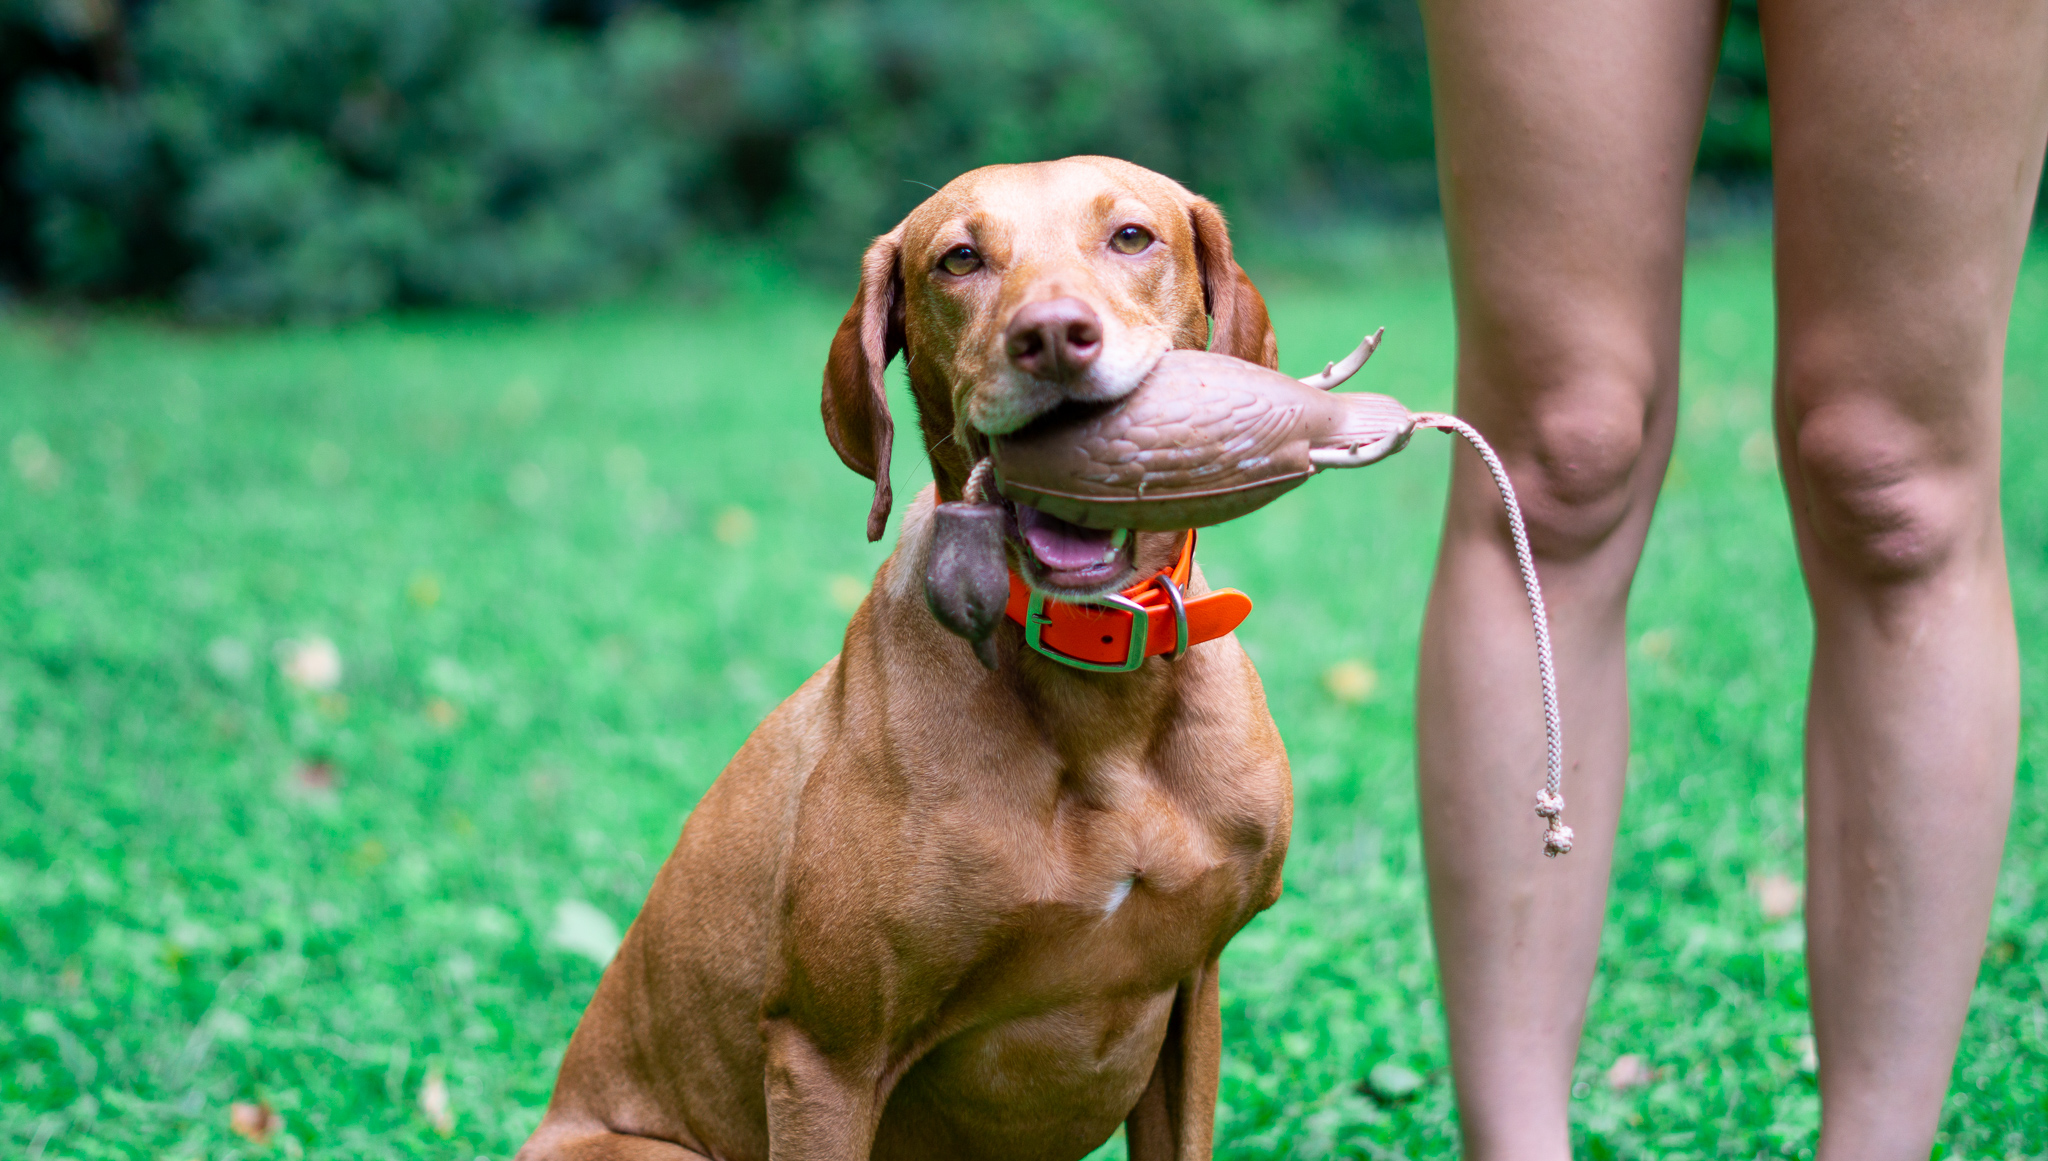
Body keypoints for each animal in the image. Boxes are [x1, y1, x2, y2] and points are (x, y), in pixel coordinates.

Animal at [524, 156, 1294, 1161]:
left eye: (1132, 236)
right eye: (958, 259)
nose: (1053, 337)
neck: (1097, 695)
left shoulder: (1192, 995)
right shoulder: (826, 1055)